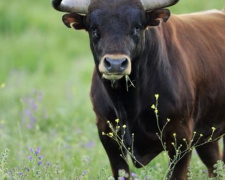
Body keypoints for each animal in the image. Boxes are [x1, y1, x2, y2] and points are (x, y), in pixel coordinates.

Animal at [51, 0, 225, 179]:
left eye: (137, 26)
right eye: (94, 28)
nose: (115, 64)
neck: (127, 102)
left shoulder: (181, 138)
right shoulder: (107, 135)